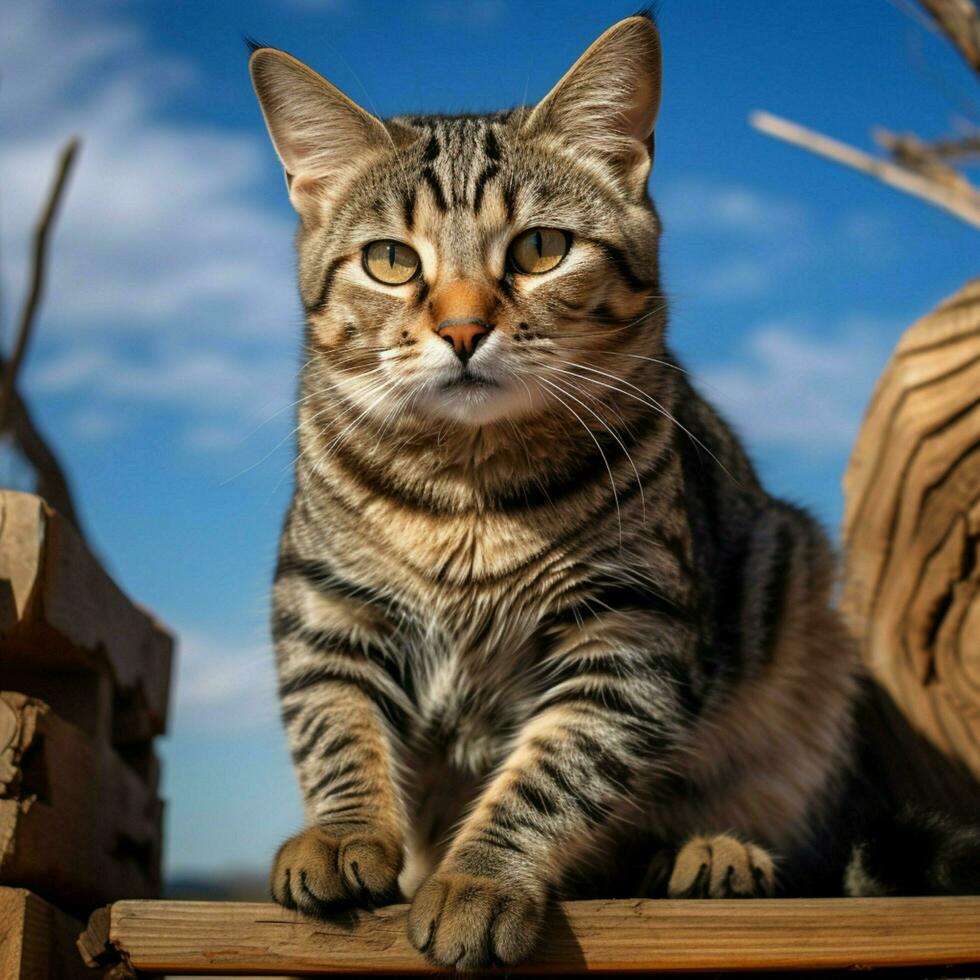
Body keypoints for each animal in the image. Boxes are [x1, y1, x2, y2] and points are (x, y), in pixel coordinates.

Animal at [247, 11, 980, 968]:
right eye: (390, 262)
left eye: (540, 248)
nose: (462, 329)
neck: (465, 485)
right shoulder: (327, 607)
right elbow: (337, 726)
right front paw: (344, 837)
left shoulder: (630, 631)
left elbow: (551, 774)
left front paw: (479, 879)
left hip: (803, 633)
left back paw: (713, 852)